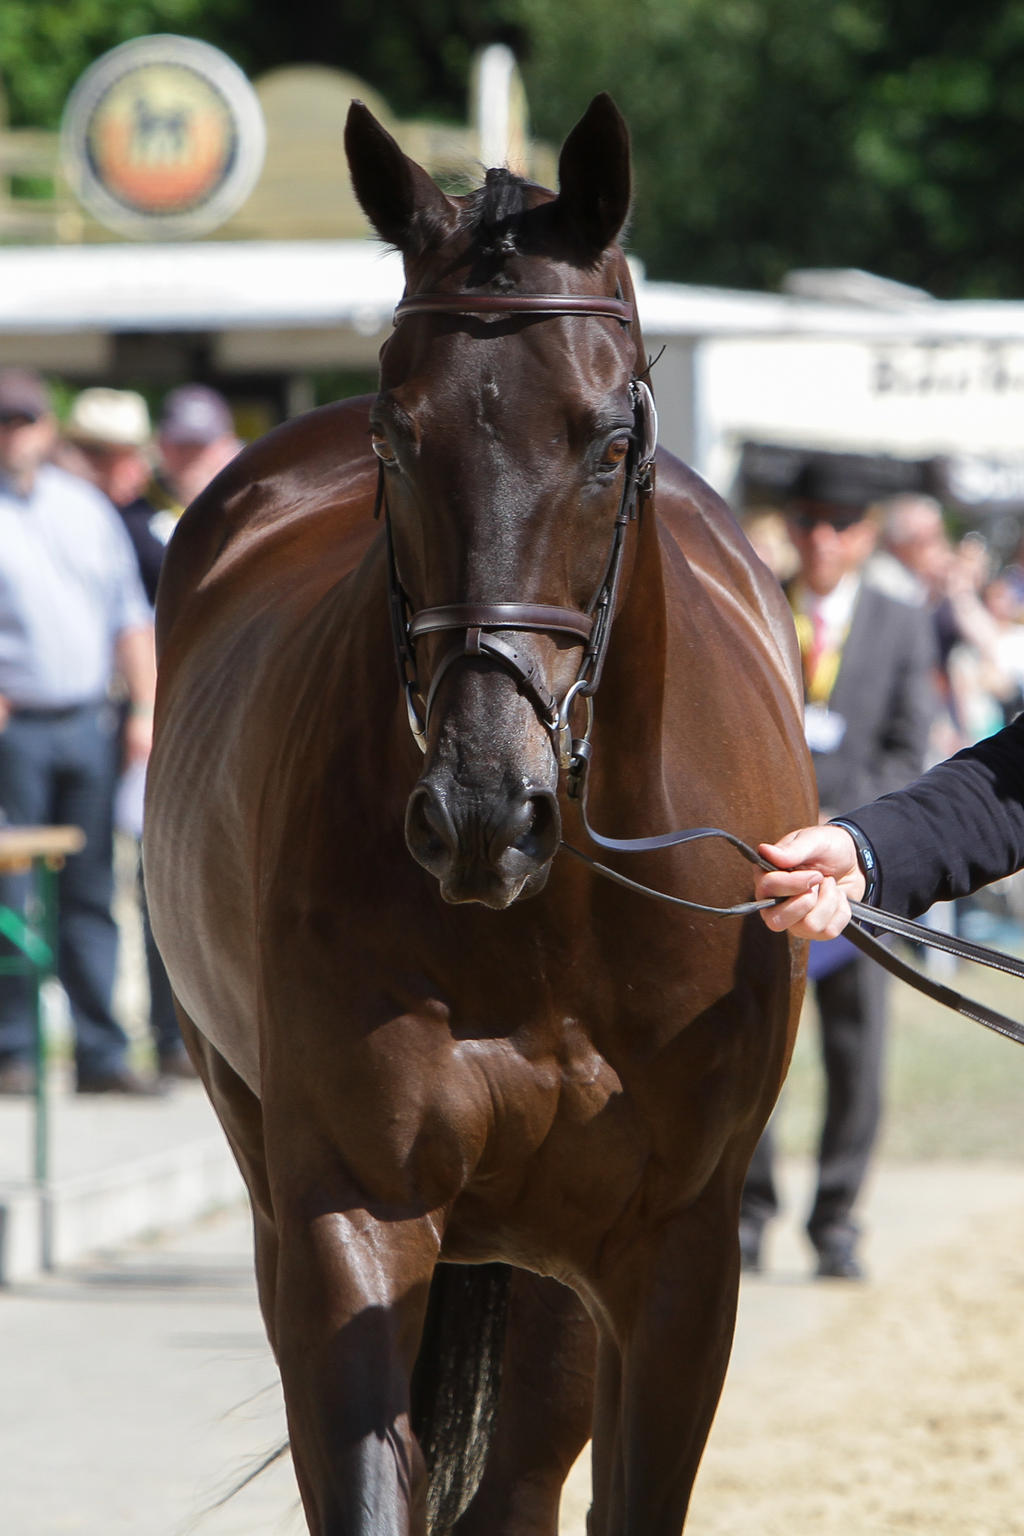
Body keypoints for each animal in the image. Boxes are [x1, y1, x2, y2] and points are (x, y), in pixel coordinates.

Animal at [144, 96, 816, 1536]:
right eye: (397, 437)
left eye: (610, 440)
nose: (481, 814)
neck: (550, 932)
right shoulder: (350, 1220)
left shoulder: (677, 1260)